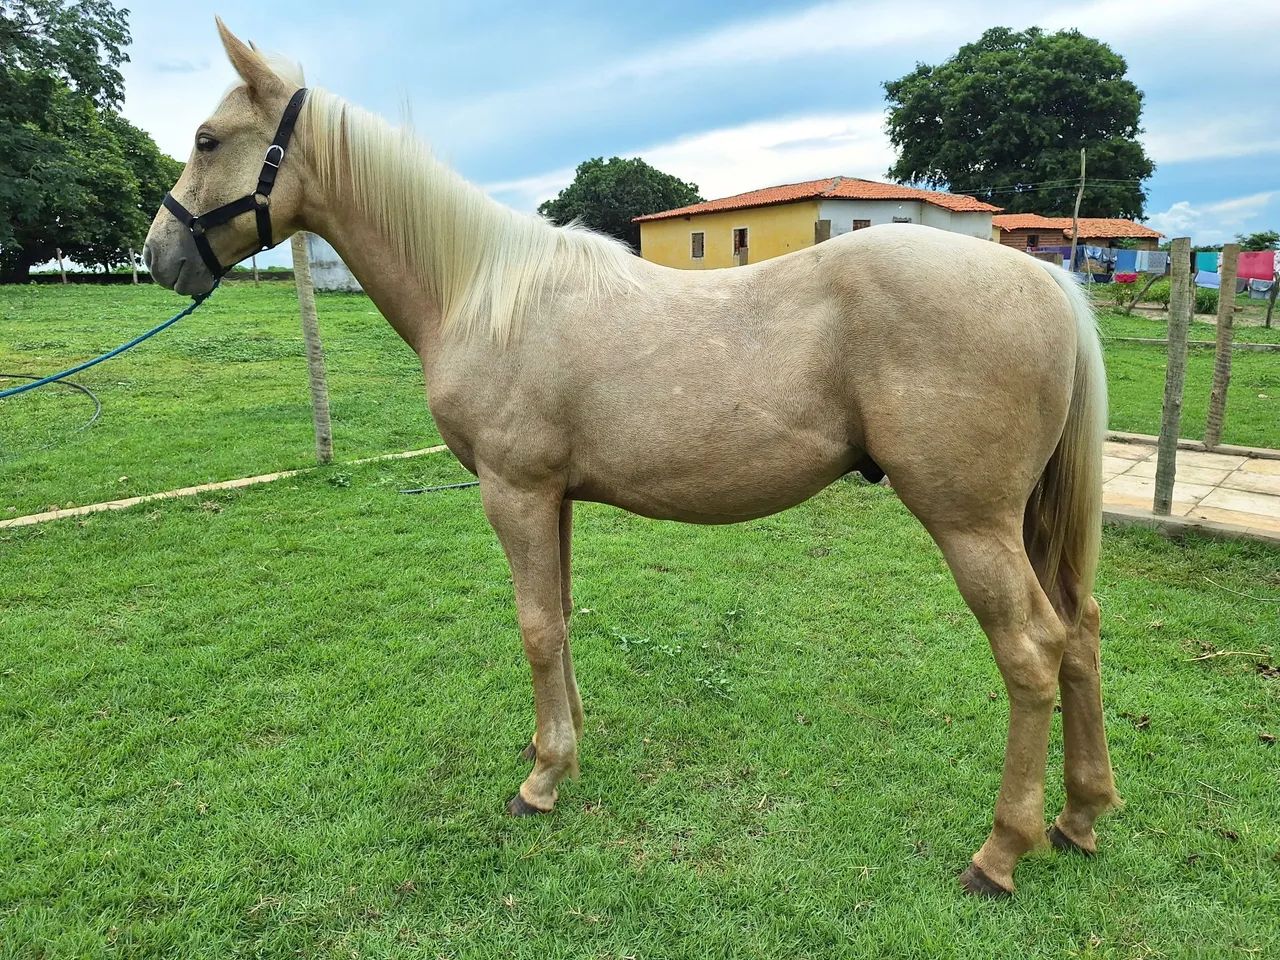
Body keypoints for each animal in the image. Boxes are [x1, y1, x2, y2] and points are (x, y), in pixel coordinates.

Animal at [142, 20, 1120, 897]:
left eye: (207, 139)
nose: (157, 255)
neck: (483, 292)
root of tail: (1045, 278)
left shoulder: (514, 493)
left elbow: (536, 627)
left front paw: (542, 780)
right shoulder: (556, 498)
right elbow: (564, 617)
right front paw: (563, 747)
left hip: (970, 523)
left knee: (1031, 653)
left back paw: (1000, 853)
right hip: (1026, 524)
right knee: (1079, 631)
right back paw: (1078, 817)